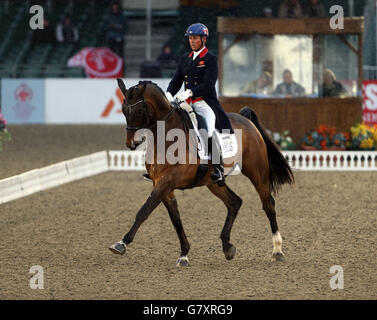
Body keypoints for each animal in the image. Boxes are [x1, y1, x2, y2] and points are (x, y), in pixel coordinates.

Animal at [108, 79, 294, 266]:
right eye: (123, 111)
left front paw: (121, 244)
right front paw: (184, 254)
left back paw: (277, 250)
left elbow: (144, 211)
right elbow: (176, 219)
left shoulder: (167, 181)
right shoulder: (162, 184)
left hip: (257, 171)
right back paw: (227, 247)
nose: (131, 143)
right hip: (212, 182)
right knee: (234, 202)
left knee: (268, 204)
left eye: (139, 110)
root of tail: (246, 120)